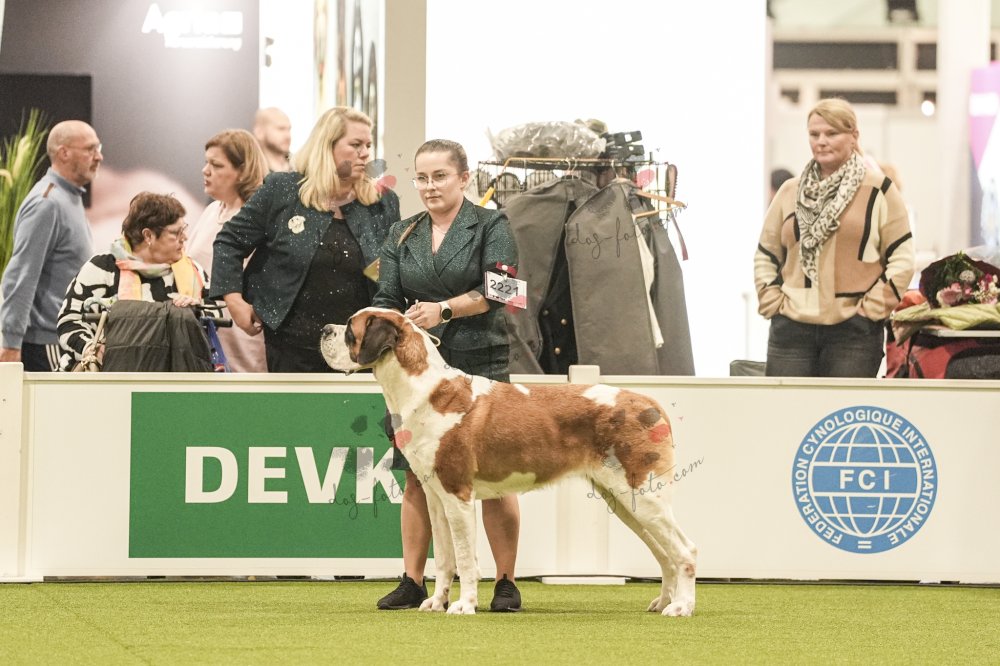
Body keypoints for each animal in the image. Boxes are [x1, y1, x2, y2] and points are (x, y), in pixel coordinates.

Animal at [320, 307, 697, 616]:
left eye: (350, 329)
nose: (324, 329)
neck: (424, 389)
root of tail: (648, 402)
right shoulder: (436, 499)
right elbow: (443, 558)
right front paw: (436, 602)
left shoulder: (458, 496)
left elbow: (465, 558)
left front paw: (463, 605)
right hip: (626, 502)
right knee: (665, 554)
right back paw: (663, 601)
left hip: (645, 496)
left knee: (685, 550)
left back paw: (681, 607)